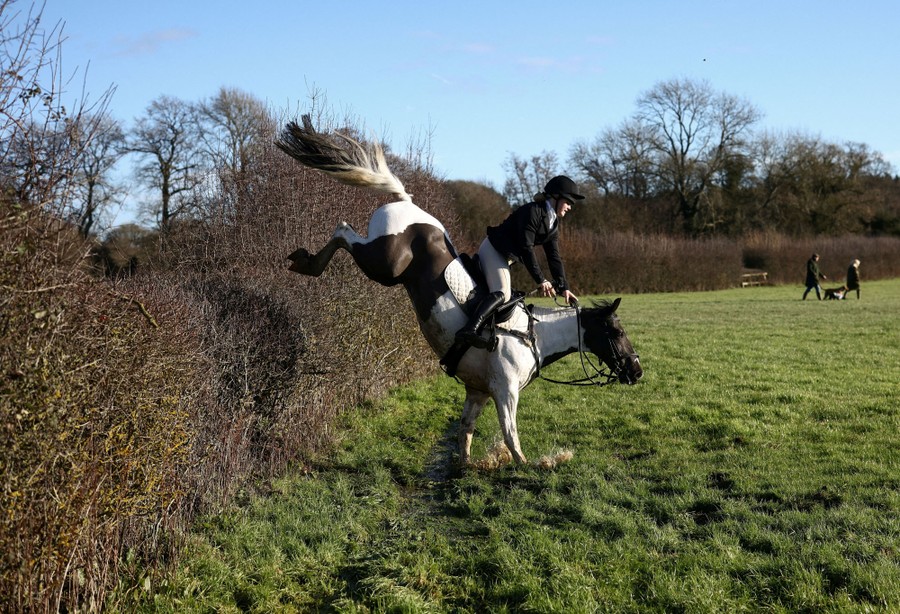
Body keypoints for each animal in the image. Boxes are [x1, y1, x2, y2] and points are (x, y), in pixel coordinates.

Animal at [276, 116, 642, 465]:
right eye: (616, 332)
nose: (637, 371)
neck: (534, 337)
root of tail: (406, 201)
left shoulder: (477, 390)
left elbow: (466, 429)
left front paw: (464, 467)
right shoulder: (505, 391)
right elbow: (511, 435)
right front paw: (528, 465)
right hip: (388, 265)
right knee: (343, 231)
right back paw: (309, 264)